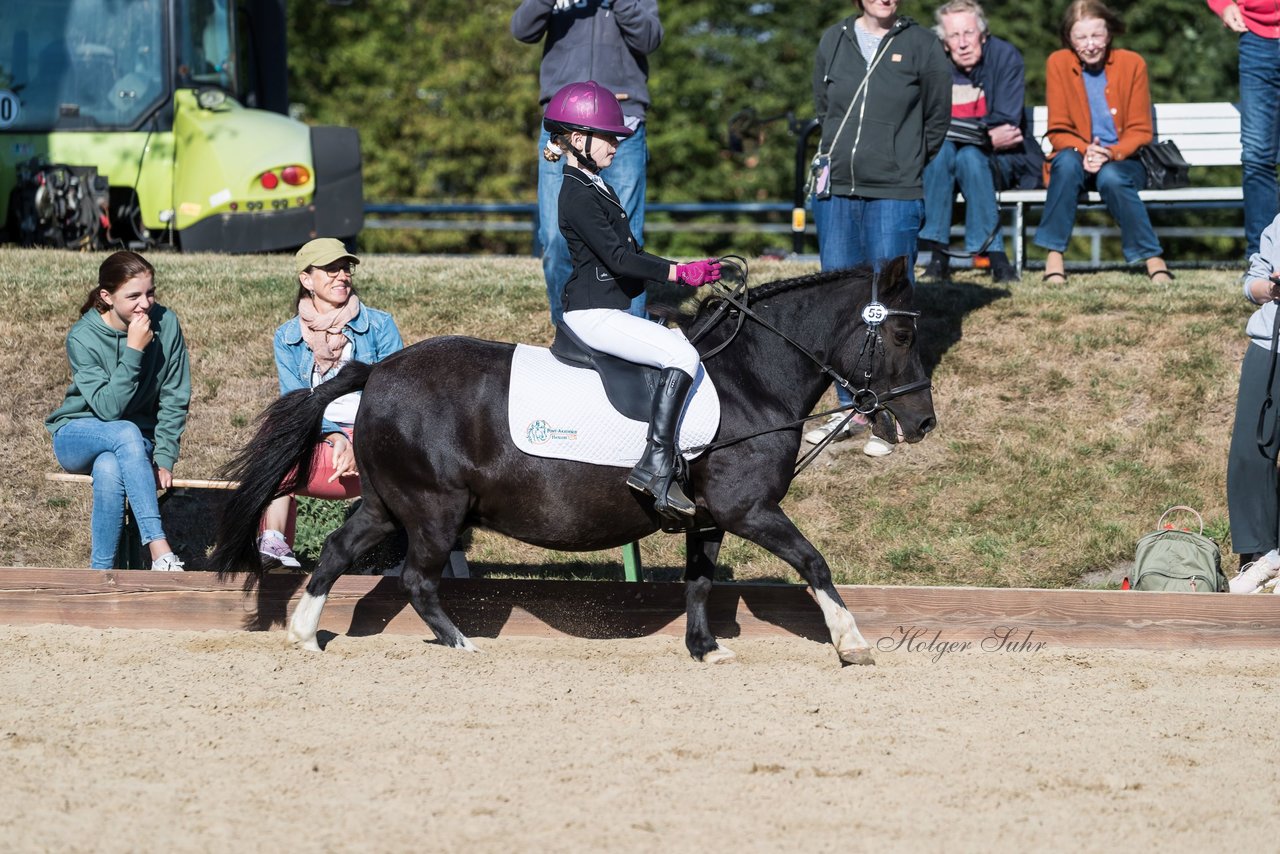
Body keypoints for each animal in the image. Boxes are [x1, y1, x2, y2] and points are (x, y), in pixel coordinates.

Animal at [207, 261, 931, 665]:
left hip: (391, 504)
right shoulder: (748, 508)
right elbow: (814, 562)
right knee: (415, 578)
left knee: (337, 554)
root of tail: (377, 370)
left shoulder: (707, 517)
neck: (751, 381)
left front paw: (706, 649)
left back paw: (305, 637)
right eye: (901, 334)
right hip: (435, 509)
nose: (922, 423)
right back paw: (460, 645)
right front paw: (852, 644)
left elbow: (700, 582)